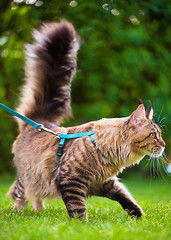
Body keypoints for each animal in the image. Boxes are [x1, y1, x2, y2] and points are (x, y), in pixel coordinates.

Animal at [7, 19, 165, 220]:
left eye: (160, 134)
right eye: (154, 135)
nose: (164, 145)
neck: (106, 151)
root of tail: (39, 122)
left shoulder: (105, 182)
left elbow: (126, 197)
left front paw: (138, 216)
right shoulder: (71, 179)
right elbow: (77, 207)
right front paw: (82, 223)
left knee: (35, 196)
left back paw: (39, 211)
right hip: (28, 175)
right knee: (19, 193)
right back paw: (17, 212)